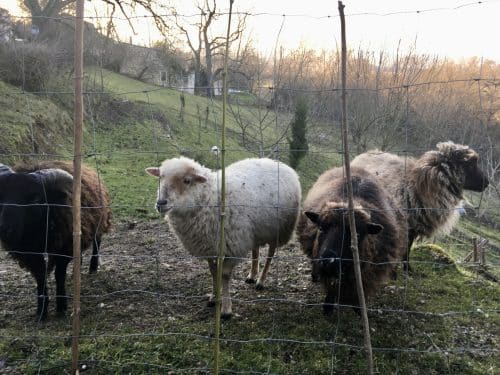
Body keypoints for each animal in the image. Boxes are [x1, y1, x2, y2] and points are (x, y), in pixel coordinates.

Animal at [0, 160, 111, 322]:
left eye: (35, 199)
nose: (4, 229)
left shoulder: (63, 250)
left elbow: (59, 276)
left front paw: (61, 306)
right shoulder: (31, 256)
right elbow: (40, 278)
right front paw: (41, 311)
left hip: (99, 223)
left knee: (97, 243)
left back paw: (93, 267)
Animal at [145, 157, 300, 318]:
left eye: (187, 180)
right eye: (160, 177)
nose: (160, 203)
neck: (211, 199)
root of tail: (278, 162)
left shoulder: (232, 247)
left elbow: (224, 275)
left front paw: (226, 309)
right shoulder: (209, 246)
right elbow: (213, 273)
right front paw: (213, 298)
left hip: (278, 230)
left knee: (270, 254)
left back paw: (260, 281)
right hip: (254, 231)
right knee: (255, 249)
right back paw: (252, 275)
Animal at [296, 167, 406, 314]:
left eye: (357, 235)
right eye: (321, 227)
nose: (329, 261)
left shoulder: (366, 272)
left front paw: (359, 308)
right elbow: (331, 288)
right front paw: (328, 307)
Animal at [352, 142, 488, 270]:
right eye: (469, 164)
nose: (486, 183)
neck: (419, 184)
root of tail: (368, 152)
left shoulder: (414, 225)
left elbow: (408, 246)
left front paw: (407, 267)